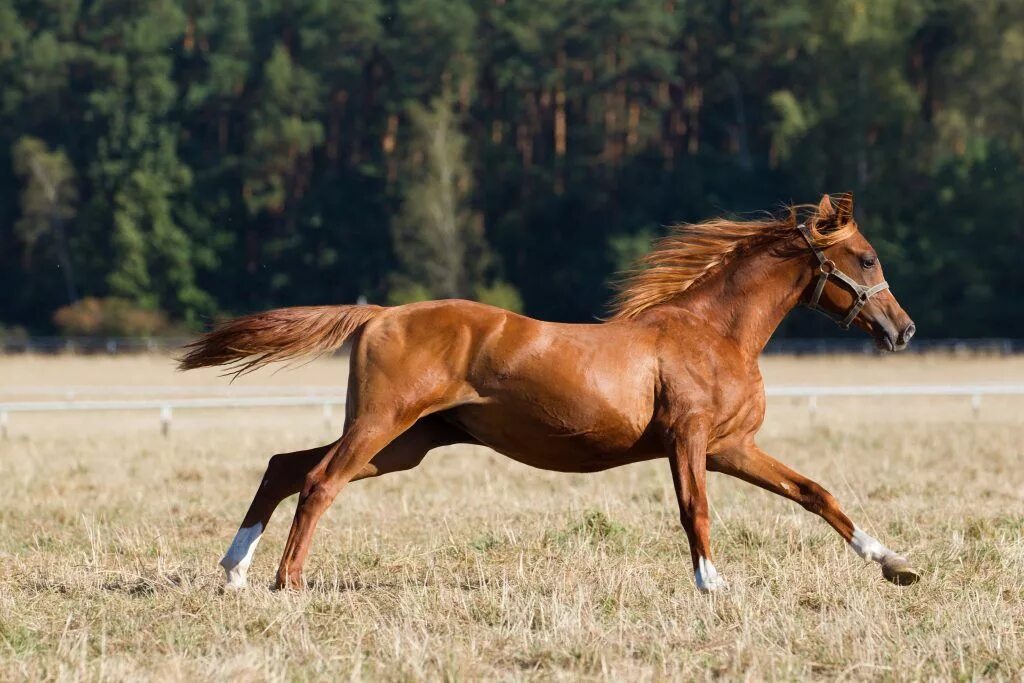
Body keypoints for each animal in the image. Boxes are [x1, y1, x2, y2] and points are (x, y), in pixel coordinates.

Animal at [182, 193, 921, 593]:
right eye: (865, 258)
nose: (904, 329)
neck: (713, 332)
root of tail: (381, 313)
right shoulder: (689, 440)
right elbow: (696, 511)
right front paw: (713, 583)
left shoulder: (731, 446)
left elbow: (815, 493)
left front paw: (895, 564)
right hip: (381, 424)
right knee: (318, 481)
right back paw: (287, 580)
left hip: (407, 442)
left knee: (285, 466)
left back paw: (236, 570)